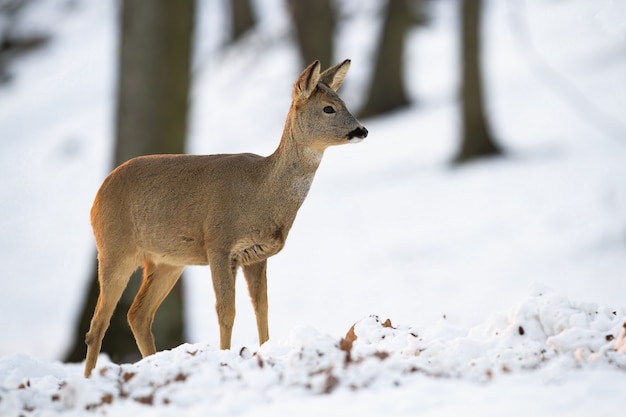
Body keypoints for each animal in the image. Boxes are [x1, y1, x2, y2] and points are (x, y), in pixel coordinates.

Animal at [83, 59, 366, 376]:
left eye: (344, 102)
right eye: (329, 108)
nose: (362, 130)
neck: (262, 191)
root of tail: (97, 196)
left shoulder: (256, 255)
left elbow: (262, 307)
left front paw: (264, 350)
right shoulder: (219, 243)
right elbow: (226, 310)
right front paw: (224, 357)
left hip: (168, 261)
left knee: (138, 314)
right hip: (114, 247)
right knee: (97, 324)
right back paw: (89, 377)